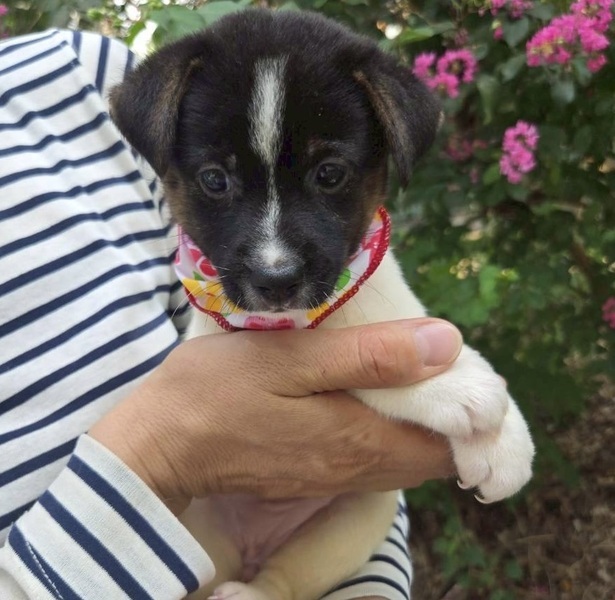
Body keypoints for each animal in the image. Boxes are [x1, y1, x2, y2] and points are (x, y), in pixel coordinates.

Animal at [110, 9, 535, 600]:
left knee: (285, 579)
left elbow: (419, 330)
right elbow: (361, 365)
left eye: (330, 173)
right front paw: (455, 387)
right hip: (200, 532)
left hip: (352, 522)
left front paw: (503, 436)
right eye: (215, 179)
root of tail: (251, 549)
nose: (276, 280)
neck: (307, 316)